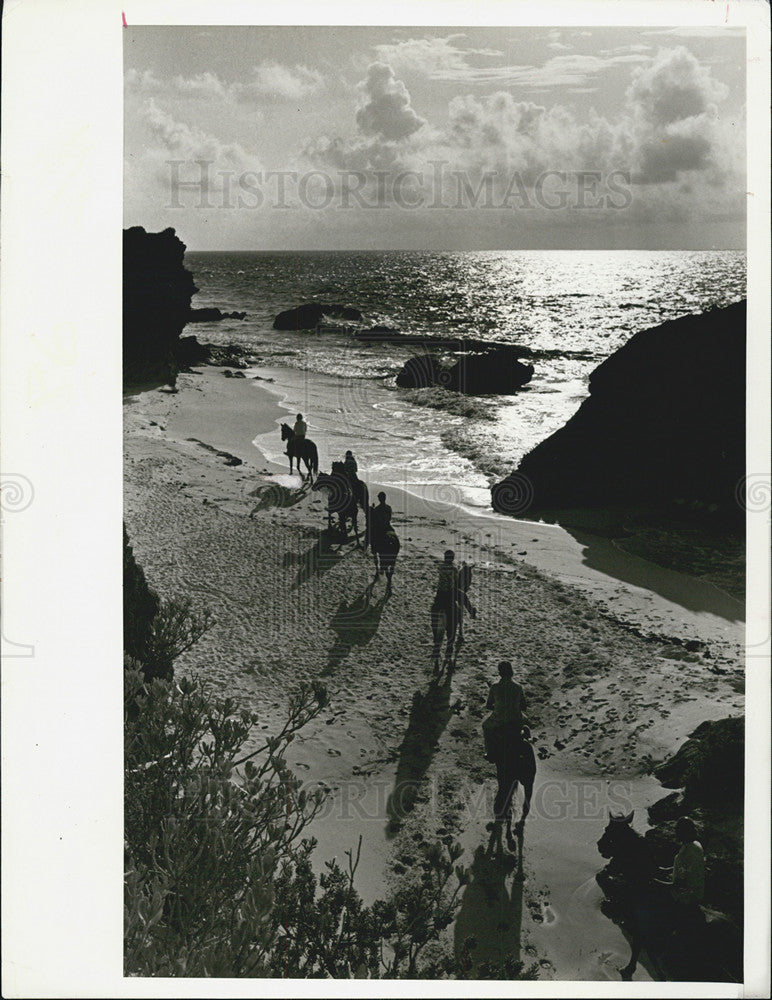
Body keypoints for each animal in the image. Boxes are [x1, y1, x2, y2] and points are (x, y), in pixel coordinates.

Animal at [596, 808, 740, 980]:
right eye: (607, 828)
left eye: (610, 831)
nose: (599, 846)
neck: (644, 886)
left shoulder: (640, 931)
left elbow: (637, 950)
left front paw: (628, 970)